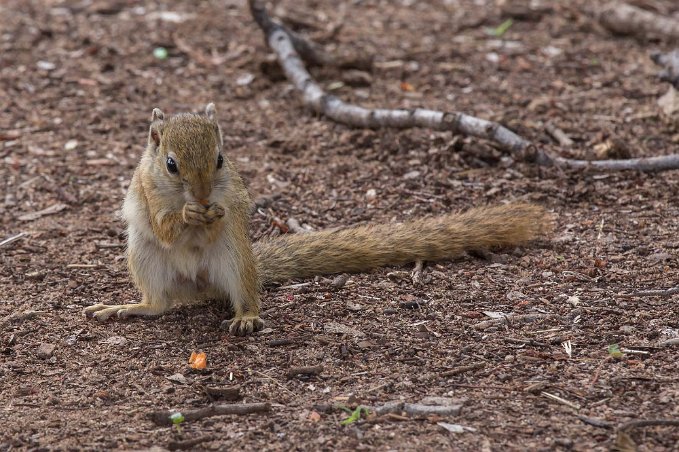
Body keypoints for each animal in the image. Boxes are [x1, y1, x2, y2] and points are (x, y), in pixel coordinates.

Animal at [83, 104, 552, 334]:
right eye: (170, 165)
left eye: (220, 159)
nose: (200, 196)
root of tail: (198, 288)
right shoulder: (147, 194)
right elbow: (165, 226)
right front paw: (186, 213)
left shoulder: (234, 196)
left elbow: (229, 211)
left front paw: (211, 213)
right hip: (145, 257)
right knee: (159, 304)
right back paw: (130, 307)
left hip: (234, 259)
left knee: (242, 294)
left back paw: (247, 316)